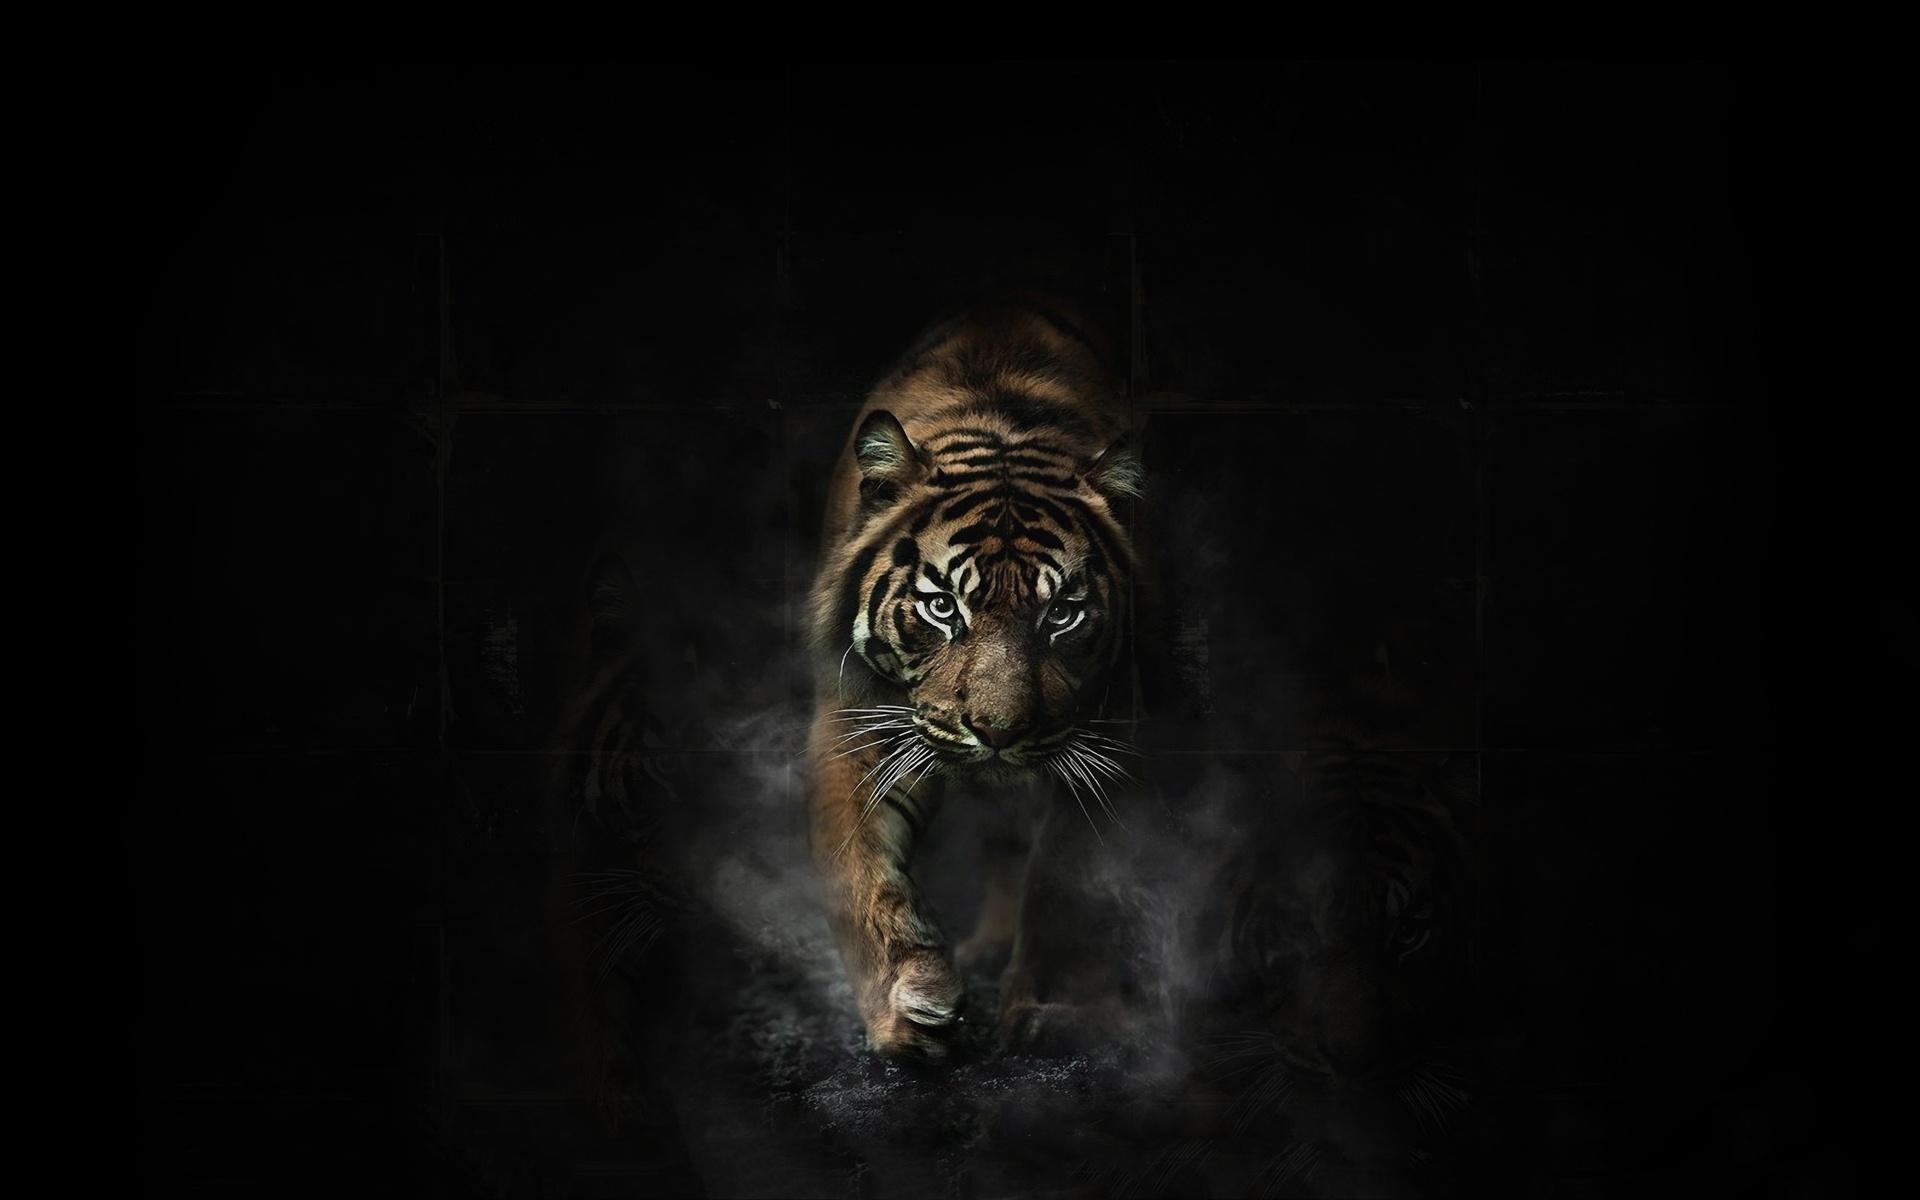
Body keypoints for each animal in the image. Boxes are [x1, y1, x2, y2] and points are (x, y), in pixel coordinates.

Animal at [804, 300, 1145, 1060]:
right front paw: (908, 1006)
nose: (997, 730)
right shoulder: (857, 716)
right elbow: (859, 870)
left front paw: (1047, 1011)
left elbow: (1063, 877)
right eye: (942, 607)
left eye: (1062, 613)